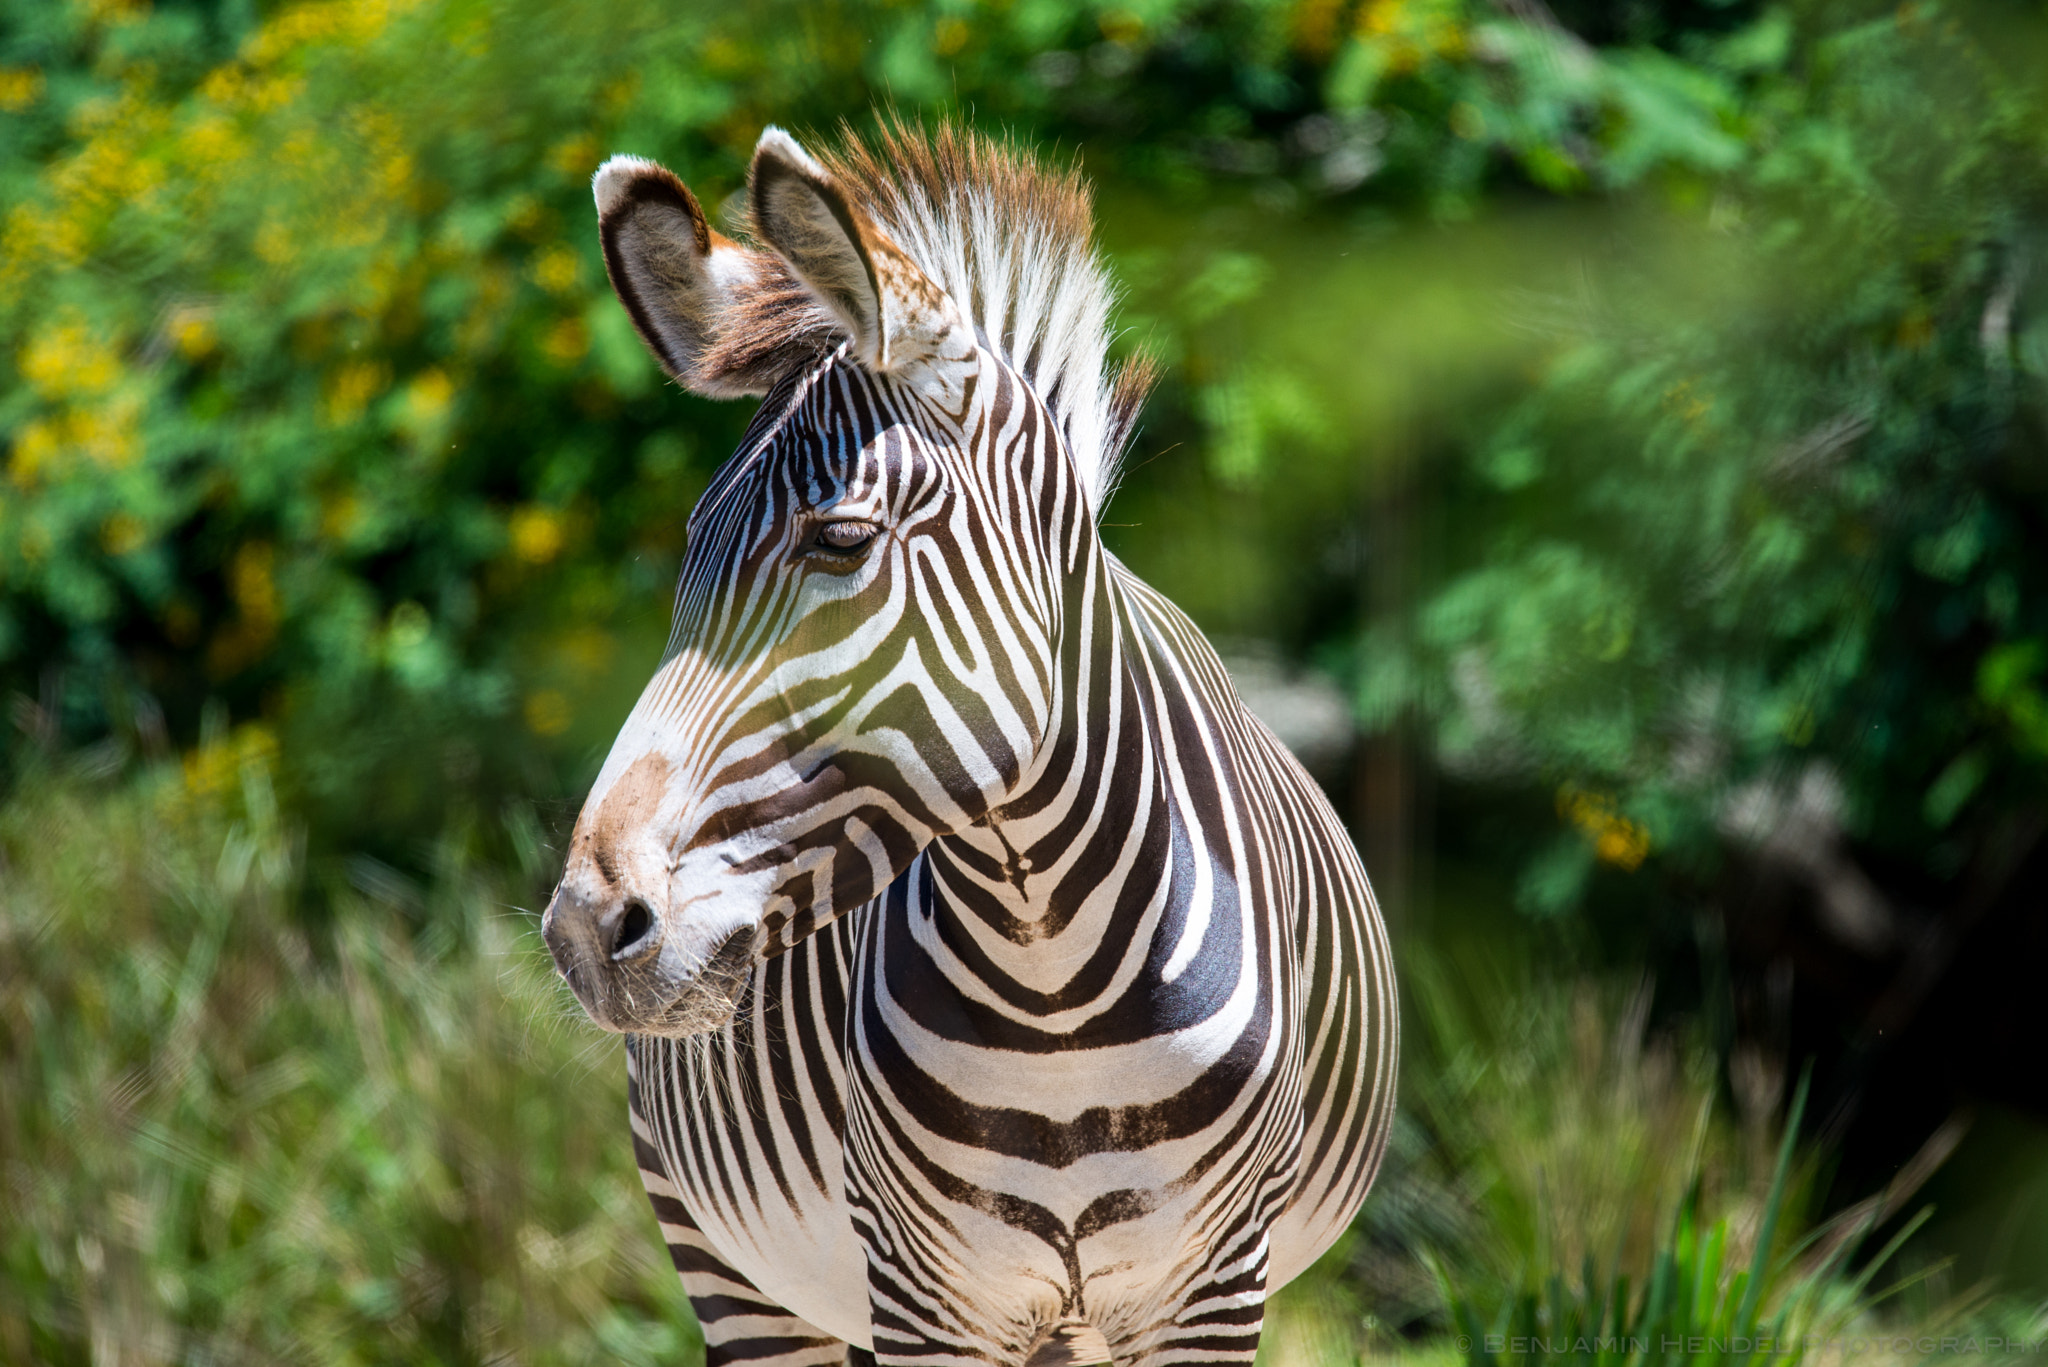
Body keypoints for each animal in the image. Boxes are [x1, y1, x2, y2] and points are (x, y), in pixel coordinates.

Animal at [541, 122, 1397, 1367]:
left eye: (840, 539)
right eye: (690, 547)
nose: (586, 926)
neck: (1054, 998)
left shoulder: (1214, 1288)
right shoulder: (918, 1295)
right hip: (731, 1265)